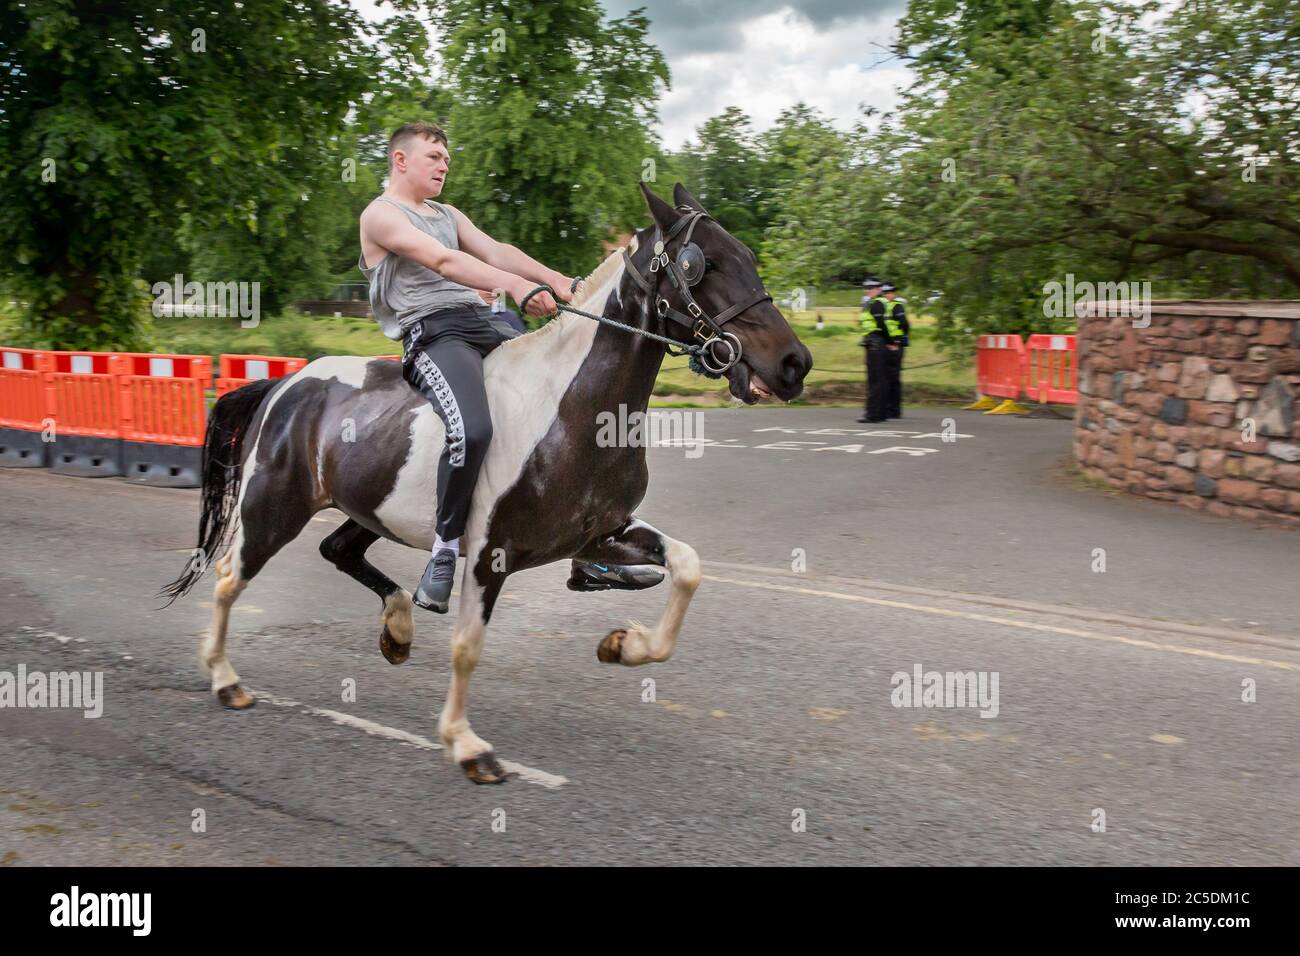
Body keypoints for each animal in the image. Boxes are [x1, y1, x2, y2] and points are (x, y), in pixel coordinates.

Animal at [162, 184, 811, 785]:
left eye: (748, 254)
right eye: (704, 263)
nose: (794, 364)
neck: (575, 412)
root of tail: (287, 384)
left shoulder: (604, 534)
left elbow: (688, 567)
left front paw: (624, 644)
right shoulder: (486, 553)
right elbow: (467, 647)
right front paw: (466, 744)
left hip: (367, 509)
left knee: (336, 548)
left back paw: (397, 628)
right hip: (273, 509)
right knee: (230, 579)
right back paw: (224, 677)